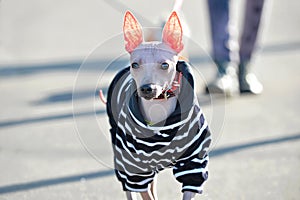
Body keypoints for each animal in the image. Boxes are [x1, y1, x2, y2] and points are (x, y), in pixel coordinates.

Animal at [105, 11, 211, 200]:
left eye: (165, 65)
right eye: (135, 65)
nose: (147, 88)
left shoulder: (194, 162)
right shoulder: (136, 170)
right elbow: (143, 191)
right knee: (129, 188)